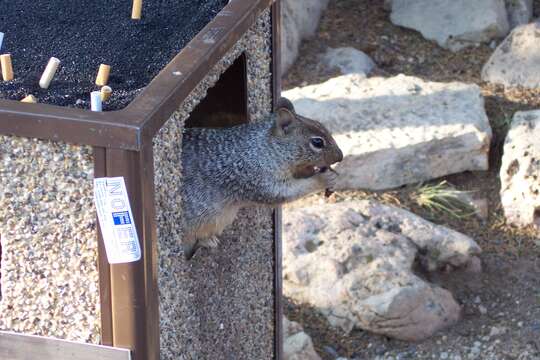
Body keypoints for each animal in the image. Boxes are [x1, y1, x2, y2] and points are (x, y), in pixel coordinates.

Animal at [180, 96, 342, 258]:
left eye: (323, 125)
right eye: (317, 142)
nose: (340, 157)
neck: (262, 147)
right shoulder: (253, 177)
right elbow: (286, 192)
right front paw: (323, 179)